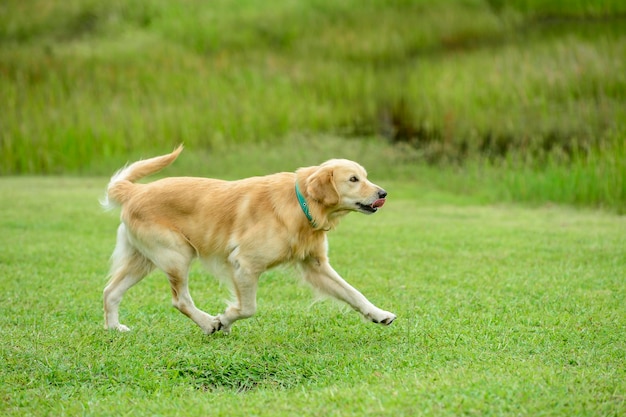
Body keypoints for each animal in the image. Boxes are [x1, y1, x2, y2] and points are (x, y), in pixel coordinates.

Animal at [102, 146, 394, 334]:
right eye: (353, 179)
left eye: (365, 176)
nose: (383, 193)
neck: (300, 203)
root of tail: (134, 191)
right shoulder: (244, 264)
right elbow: (247, 308)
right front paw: (224, 320)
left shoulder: (316, 265)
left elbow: (353, 293)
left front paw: (379, 314)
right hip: (178, 254)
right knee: (180, 300)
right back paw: (208, 323)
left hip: (143, 261)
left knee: (110, 291)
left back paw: (114, 328)